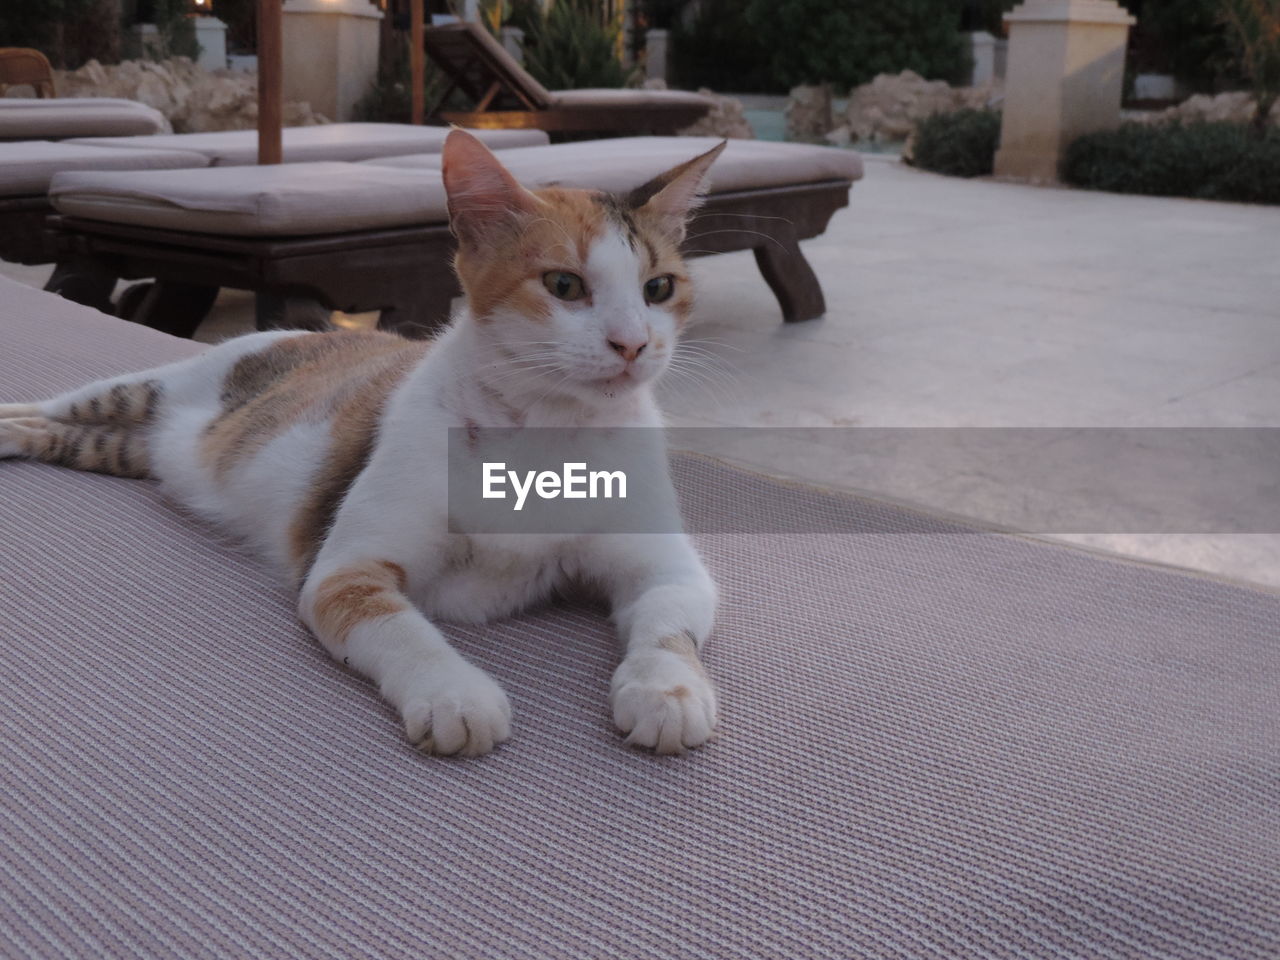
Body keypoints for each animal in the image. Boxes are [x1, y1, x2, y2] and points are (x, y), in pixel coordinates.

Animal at [0, 129, 727, 757]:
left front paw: (667, 688)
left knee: (71, 436)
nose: (633, 344)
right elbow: (400, 627)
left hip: (125, 449)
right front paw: (453, 693)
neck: (547, 431)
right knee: (60, 404)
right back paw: (10, 423)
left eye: (659, 288)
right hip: (148, 387)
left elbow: (669, 618)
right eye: (564, 285)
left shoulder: (668, 566)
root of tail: (312, 332)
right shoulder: (343, 572)